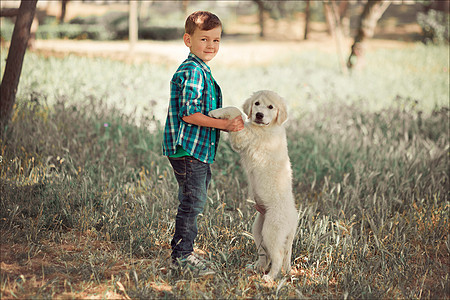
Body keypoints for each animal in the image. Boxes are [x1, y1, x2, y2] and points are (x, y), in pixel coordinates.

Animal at [208, 89, 298, 282]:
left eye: (271, 107)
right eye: (257, 103)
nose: (259, 115)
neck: (267, 127)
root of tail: (294, 219)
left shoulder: (244, 137)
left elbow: (236, 111)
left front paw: (216, 112)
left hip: (272, 231)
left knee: (277, 256)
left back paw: (270, 277)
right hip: (258, 229)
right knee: (265, 254)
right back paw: (256, 267)